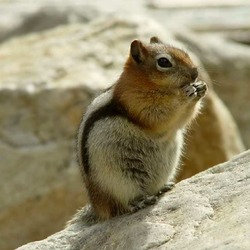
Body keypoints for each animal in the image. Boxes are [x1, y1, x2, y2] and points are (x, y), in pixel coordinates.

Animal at [76, 36, 207, 220]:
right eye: (164, 62)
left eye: (185, 53)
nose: (195, 73)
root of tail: (98, 207)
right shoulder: (137, 103)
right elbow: (158, 116)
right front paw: (185, 93)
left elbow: (181, 121)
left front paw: (200, 88)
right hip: (120, 182)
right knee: (122, 206)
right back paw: (139, 202)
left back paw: (162, 188)